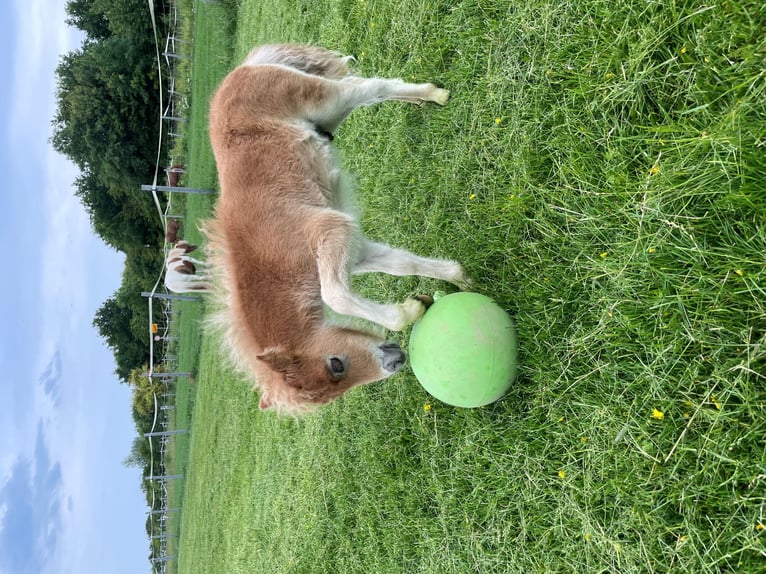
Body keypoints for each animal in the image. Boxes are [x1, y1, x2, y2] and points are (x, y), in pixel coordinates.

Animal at [206, 45, 468, 414]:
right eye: (334, 392)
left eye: (335, 364)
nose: (396, 360)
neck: (272, 260)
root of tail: (242, 69)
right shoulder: (354, 248)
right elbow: (403, 264)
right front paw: (457, 279)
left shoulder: (330, 229)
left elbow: (335, 295)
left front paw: (409, 310)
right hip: (330, 117)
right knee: (368, 88)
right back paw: (422, 101)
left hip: (325, 99)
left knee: (370, 87)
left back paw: (434, 95)